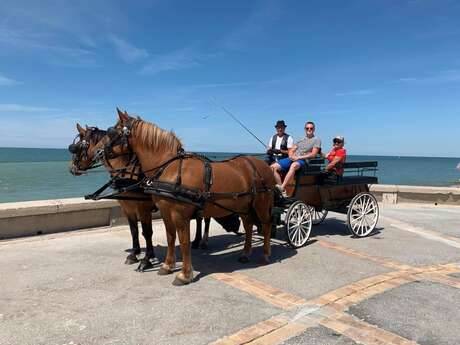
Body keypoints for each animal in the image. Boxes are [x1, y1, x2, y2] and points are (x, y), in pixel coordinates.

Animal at [106, 109, 274, 284]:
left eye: (111, 132)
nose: (102, 152)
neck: (170, 168)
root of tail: (264, 165)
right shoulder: (166, 212)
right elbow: (170, 237)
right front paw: (167, 266)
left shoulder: (180, 214)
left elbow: (184, 241)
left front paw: (185, 274)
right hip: (243, 205)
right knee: (248, 225)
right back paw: (245, 253)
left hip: (262, 202)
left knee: (266, 224)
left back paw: (265, 254)